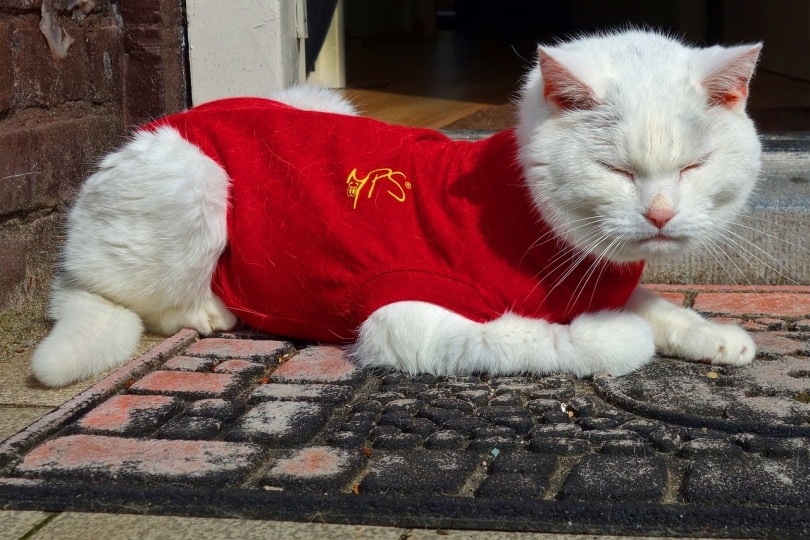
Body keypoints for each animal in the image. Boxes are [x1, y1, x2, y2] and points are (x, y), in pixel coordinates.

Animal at [31, 30, 760, 388]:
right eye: (618, 171)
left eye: (693, 167)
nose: (660, 214)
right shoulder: (405, 318)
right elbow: (534, 338)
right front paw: (617, 337)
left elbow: (661, 307)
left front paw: (715, 336)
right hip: (194, 179)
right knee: (131, 299)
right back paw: (210, 309)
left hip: (318, 99)